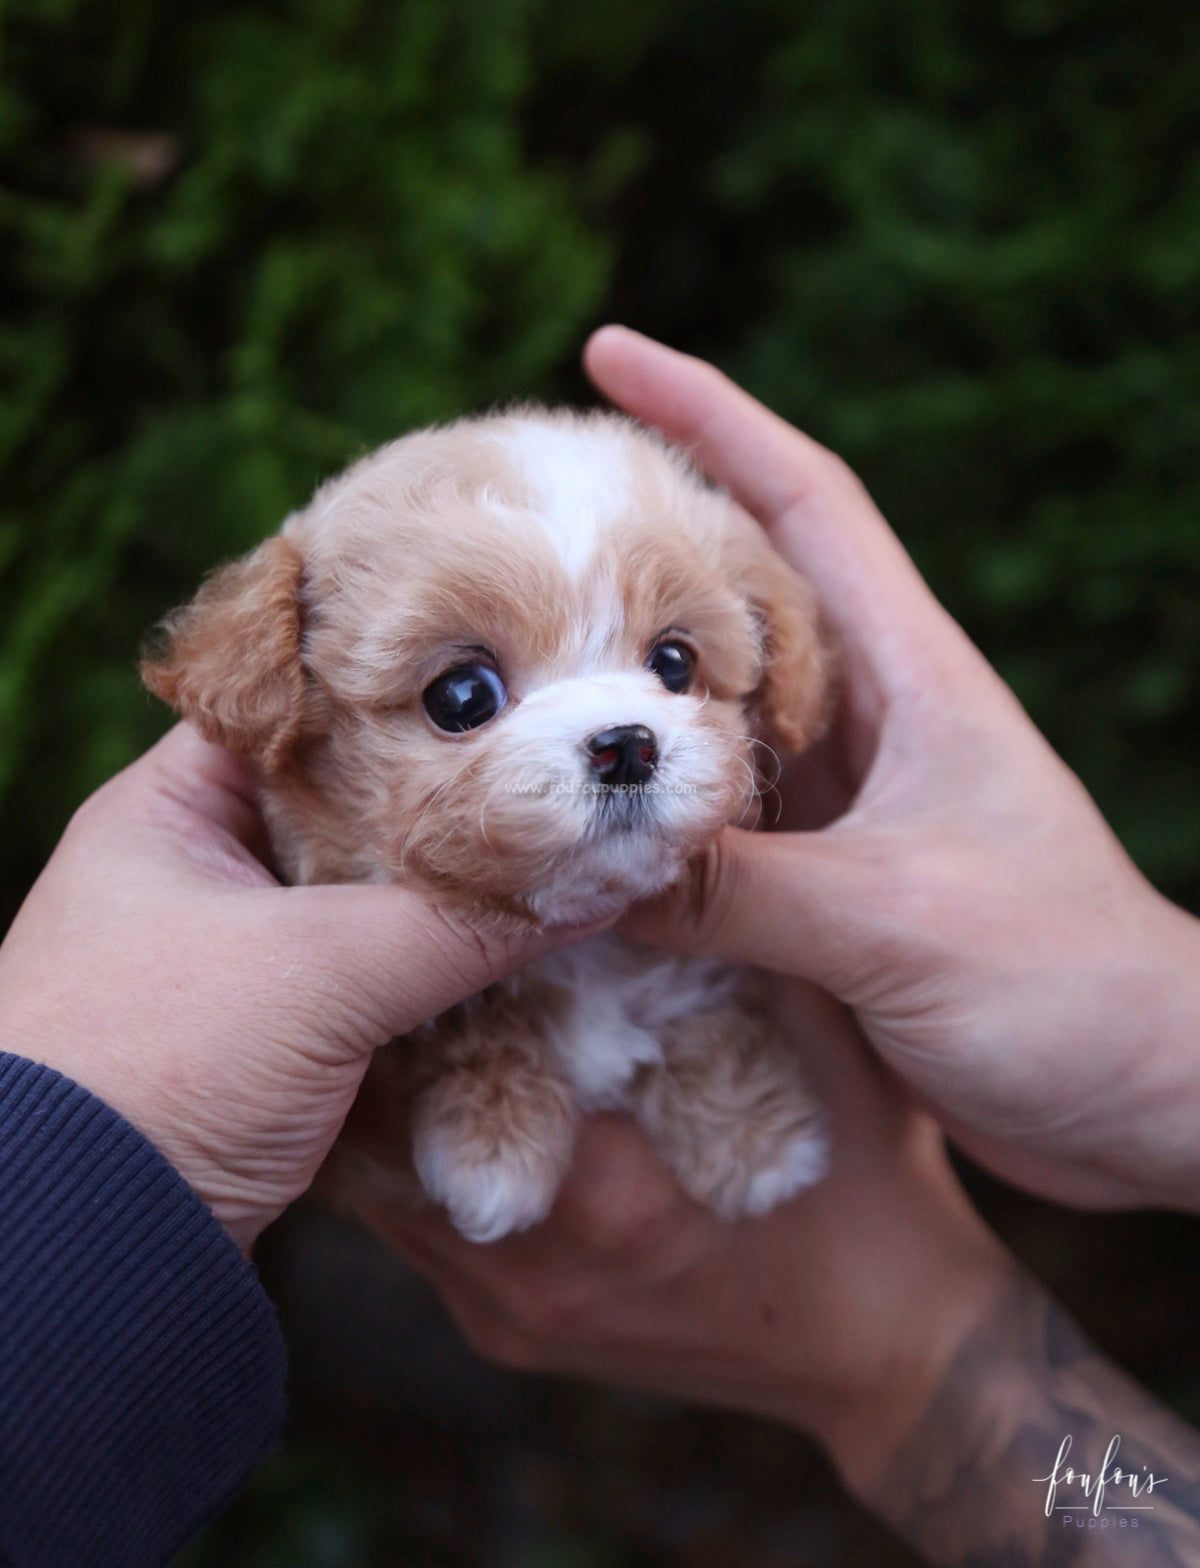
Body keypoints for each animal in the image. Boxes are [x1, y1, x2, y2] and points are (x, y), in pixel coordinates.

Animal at [142, 410, 834, 1241]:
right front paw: (494, 1144)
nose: (627, 744)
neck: (583, 952)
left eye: (674, 663)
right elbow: (466, 1024)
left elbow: (700, 1004)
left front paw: (751, 1134)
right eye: (464, 696)